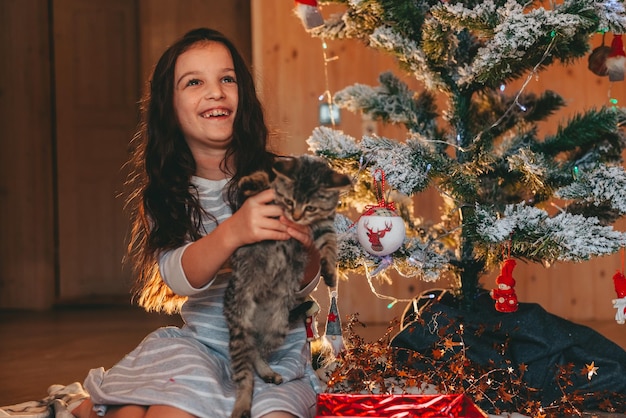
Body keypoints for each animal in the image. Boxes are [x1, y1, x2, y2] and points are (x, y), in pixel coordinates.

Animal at [223, 155, 352, 418]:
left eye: (311, 207)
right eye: (290, 202)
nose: (296, 215)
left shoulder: (324, 225)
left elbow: (329, 245)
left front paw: (330, 272)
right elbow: (264, 184)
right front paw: (253, 180)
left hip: (277, 326)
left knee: (255, 352)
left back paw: (267, 372)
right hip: (239, 322)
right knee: (244, 374)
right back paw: (242, 404)